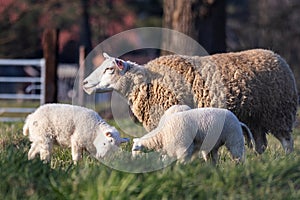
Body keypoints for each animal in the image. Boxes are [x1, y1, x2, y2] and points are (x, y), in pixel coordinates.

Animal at [82, 49, 298, 154]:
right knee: (260, 143)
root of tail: (276, 56)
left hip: (278, 112)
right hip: (254, 118)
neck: (147, 82)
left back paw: (287, 158)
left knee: (287, 141)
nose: (84, 83)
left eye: (110, 69)